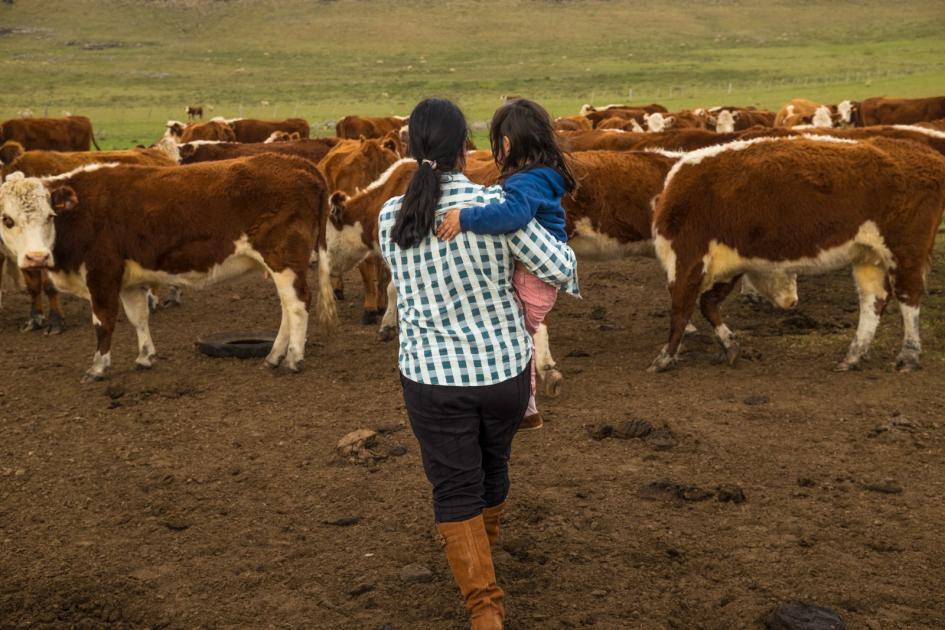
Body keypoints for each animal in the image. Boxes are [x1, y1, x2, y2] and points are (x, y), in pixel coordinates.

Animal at [0, 159, 338, 386]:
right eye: (7, 219)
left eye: (49, 216)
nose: (36, 257)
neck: (80, 213)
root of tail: (298, 163)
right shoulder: (128, 282)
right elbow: (138, 317)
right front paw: (145, 357)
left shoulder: (102, 275)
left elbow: (103, 324)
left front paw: (97, 368)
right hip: (281, 266)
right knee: (287, 308)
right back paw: (274, 356)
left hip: (284, 260)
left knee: (297, 305)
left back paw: (293, 358)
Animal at [648, 137, 944, 376]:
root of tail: (926, 155)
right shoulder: (727, 262)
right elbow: (707, 304)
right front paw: (730, 346)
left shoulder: (687, 257)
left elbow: (681, 309)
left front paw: (664, 358)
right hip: (869, 257)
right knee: (874, 301)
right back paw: (853, 356)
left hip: (904, 251)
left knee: (908, 297)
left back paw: (909, 355)